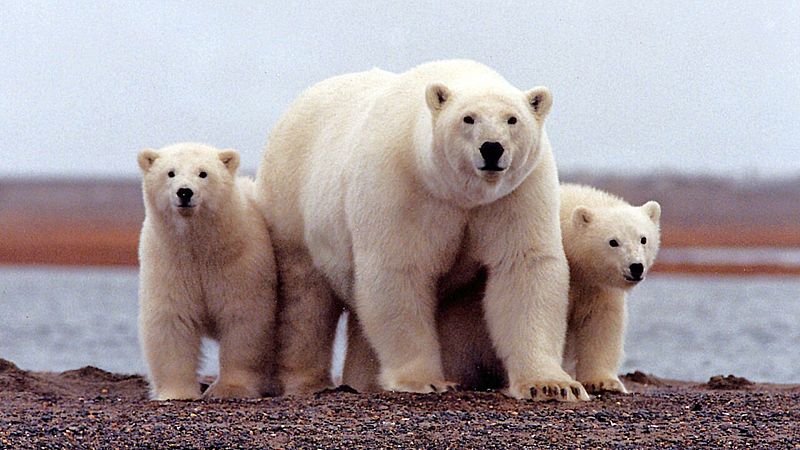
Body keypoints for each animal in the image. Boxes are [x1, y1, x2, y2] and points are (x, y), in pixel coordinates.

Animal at [137, 142, 278, 400]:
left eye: (203, 173)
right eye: (170, 173)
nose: (184, 192)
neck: (200, 247)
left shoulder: (240, 263)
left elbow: (243, 319)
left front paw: (230, 389)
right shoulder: (169, 262)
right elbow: (172, 320)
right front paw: (177, 392)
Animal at [256, 59, 588, 401]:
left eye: (512, 119)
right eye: (468, 118)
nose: (492, 148)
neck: (459, 194)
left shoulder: (516, 194)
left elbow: (523, 267)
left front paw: (552, 385)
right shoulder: (403, 187)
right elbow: (400, 270)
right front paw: (424, 380)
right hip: (292, 202)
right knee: (305, 300)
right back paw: (307, 382)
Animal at [343, 183, 662, 395]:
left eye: (643, 238)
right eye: (613, 241)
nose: (635, 267)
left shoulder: (595, 286)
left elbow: (601, 324)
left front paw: (604, 382)